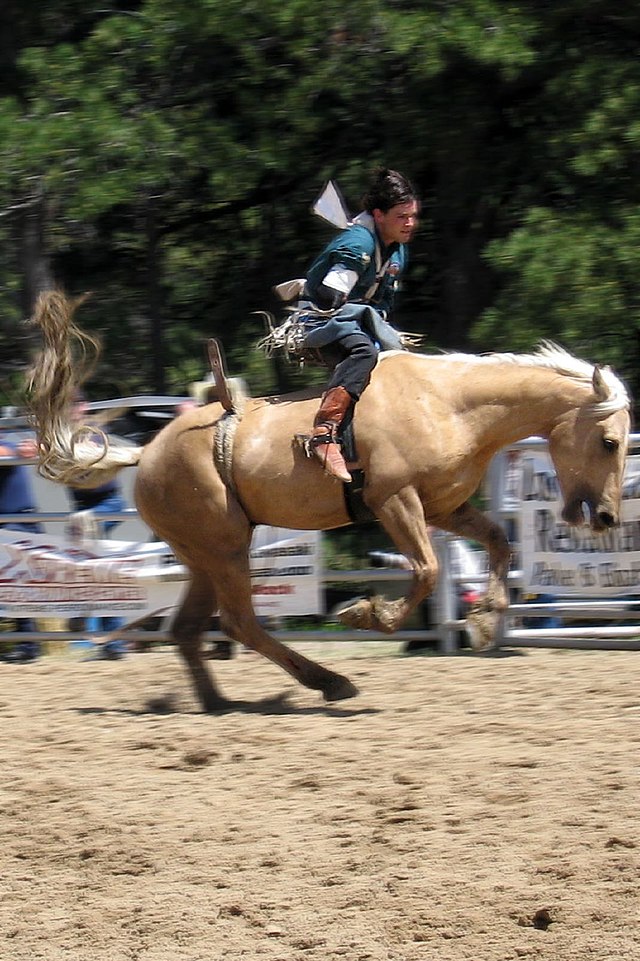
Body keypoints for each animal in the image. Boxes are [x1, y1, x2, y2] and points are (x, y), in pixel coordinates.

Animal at [26, 292, 632, 712]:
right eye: (609, 441)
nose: (606, 516)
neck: (450, 404)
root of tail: (146, 453)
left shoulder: (442, 507)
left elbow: (499, 542)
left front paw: (486, 620)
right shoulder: (394, 500)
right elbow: (428, 569)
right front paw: (367, 613)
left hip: (202, 552)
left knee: (191, 629)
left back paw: (221, 702)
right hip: (223, 546)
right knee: (240, 623)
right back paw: (329, 681)